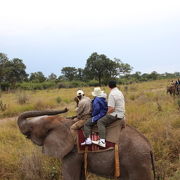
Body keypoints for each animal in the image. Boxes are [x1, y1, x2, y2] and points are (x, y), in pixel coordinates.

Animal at [17, 108, 155, 180]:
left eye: (33, 128)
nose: (66, 109)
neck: (63, 122)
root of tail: (150, 148)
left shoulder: (73, 153)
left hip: (136, 161)